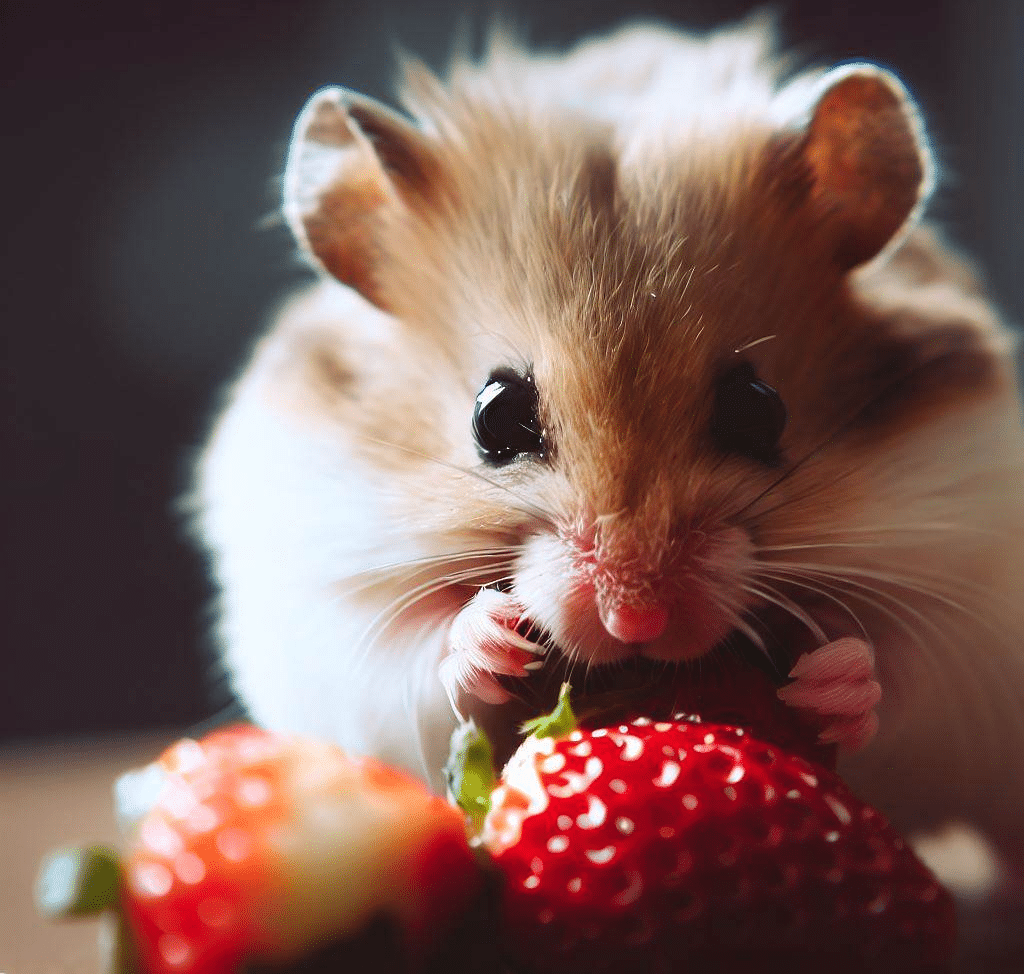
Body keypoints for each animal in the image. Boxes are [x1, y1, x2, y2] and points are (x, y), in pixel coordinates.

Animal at [195, 19, 1024, 880]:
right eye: (494, 418)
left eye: (759, 410)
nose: (635, 622)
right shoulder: (332, 613)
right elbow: (420, 661)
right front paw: (488, 638)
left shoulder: (974, 623)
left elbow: (899, 679)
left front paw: (831, 679)